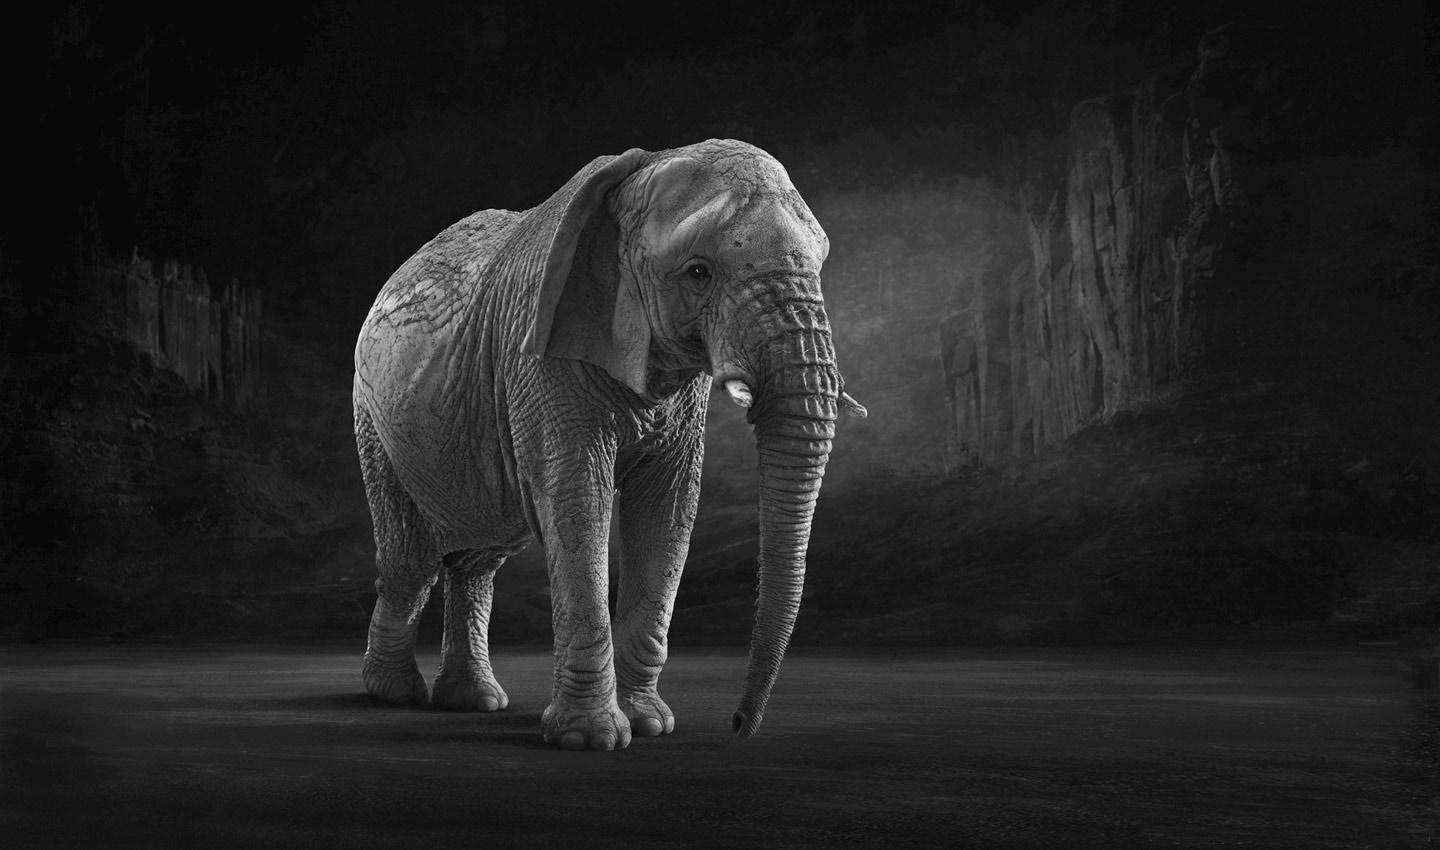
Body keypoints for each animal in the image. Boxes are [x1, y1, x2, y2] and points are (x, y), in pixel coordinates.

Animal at [352, 138, 865, 751]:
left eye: (819, 265)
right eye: (698, 272)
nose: (739, 725)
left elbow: (668, 511)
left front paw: (650, 725)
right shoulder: (541, 357)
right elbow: (577, 499)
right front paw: (591, 739)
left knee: (479, 557)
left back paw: (474, 701)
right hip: (373, 417)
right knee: (411, 559)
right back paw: (395, 694)